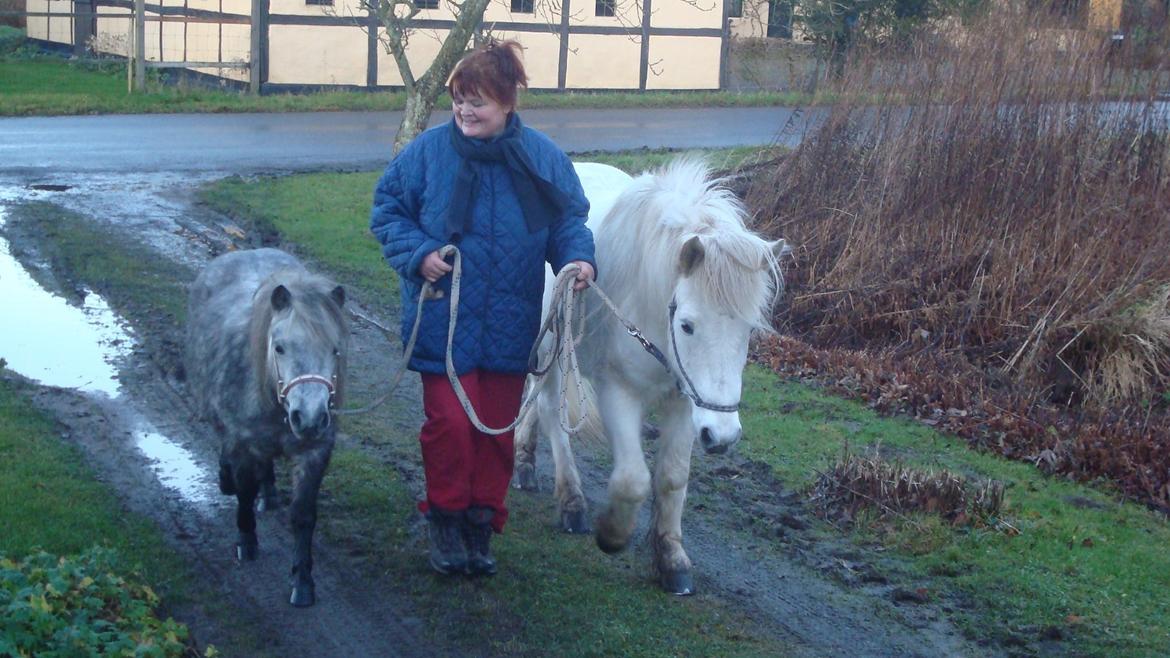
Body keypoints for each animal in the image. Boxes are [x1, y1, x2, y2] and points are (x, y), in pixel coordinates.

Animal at [514, 155, 781, 592]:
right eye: (687, 325)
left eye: (748, 330)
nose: (723, 437)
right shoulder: (617, 390)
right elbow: (632, 479)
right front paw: (612, 534)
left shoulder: (686, 401)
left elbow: (671, 478)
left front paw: (672, 560)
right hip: (554, 348)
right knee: (552, 411)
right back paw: (571, 502)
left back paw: (523, 462)